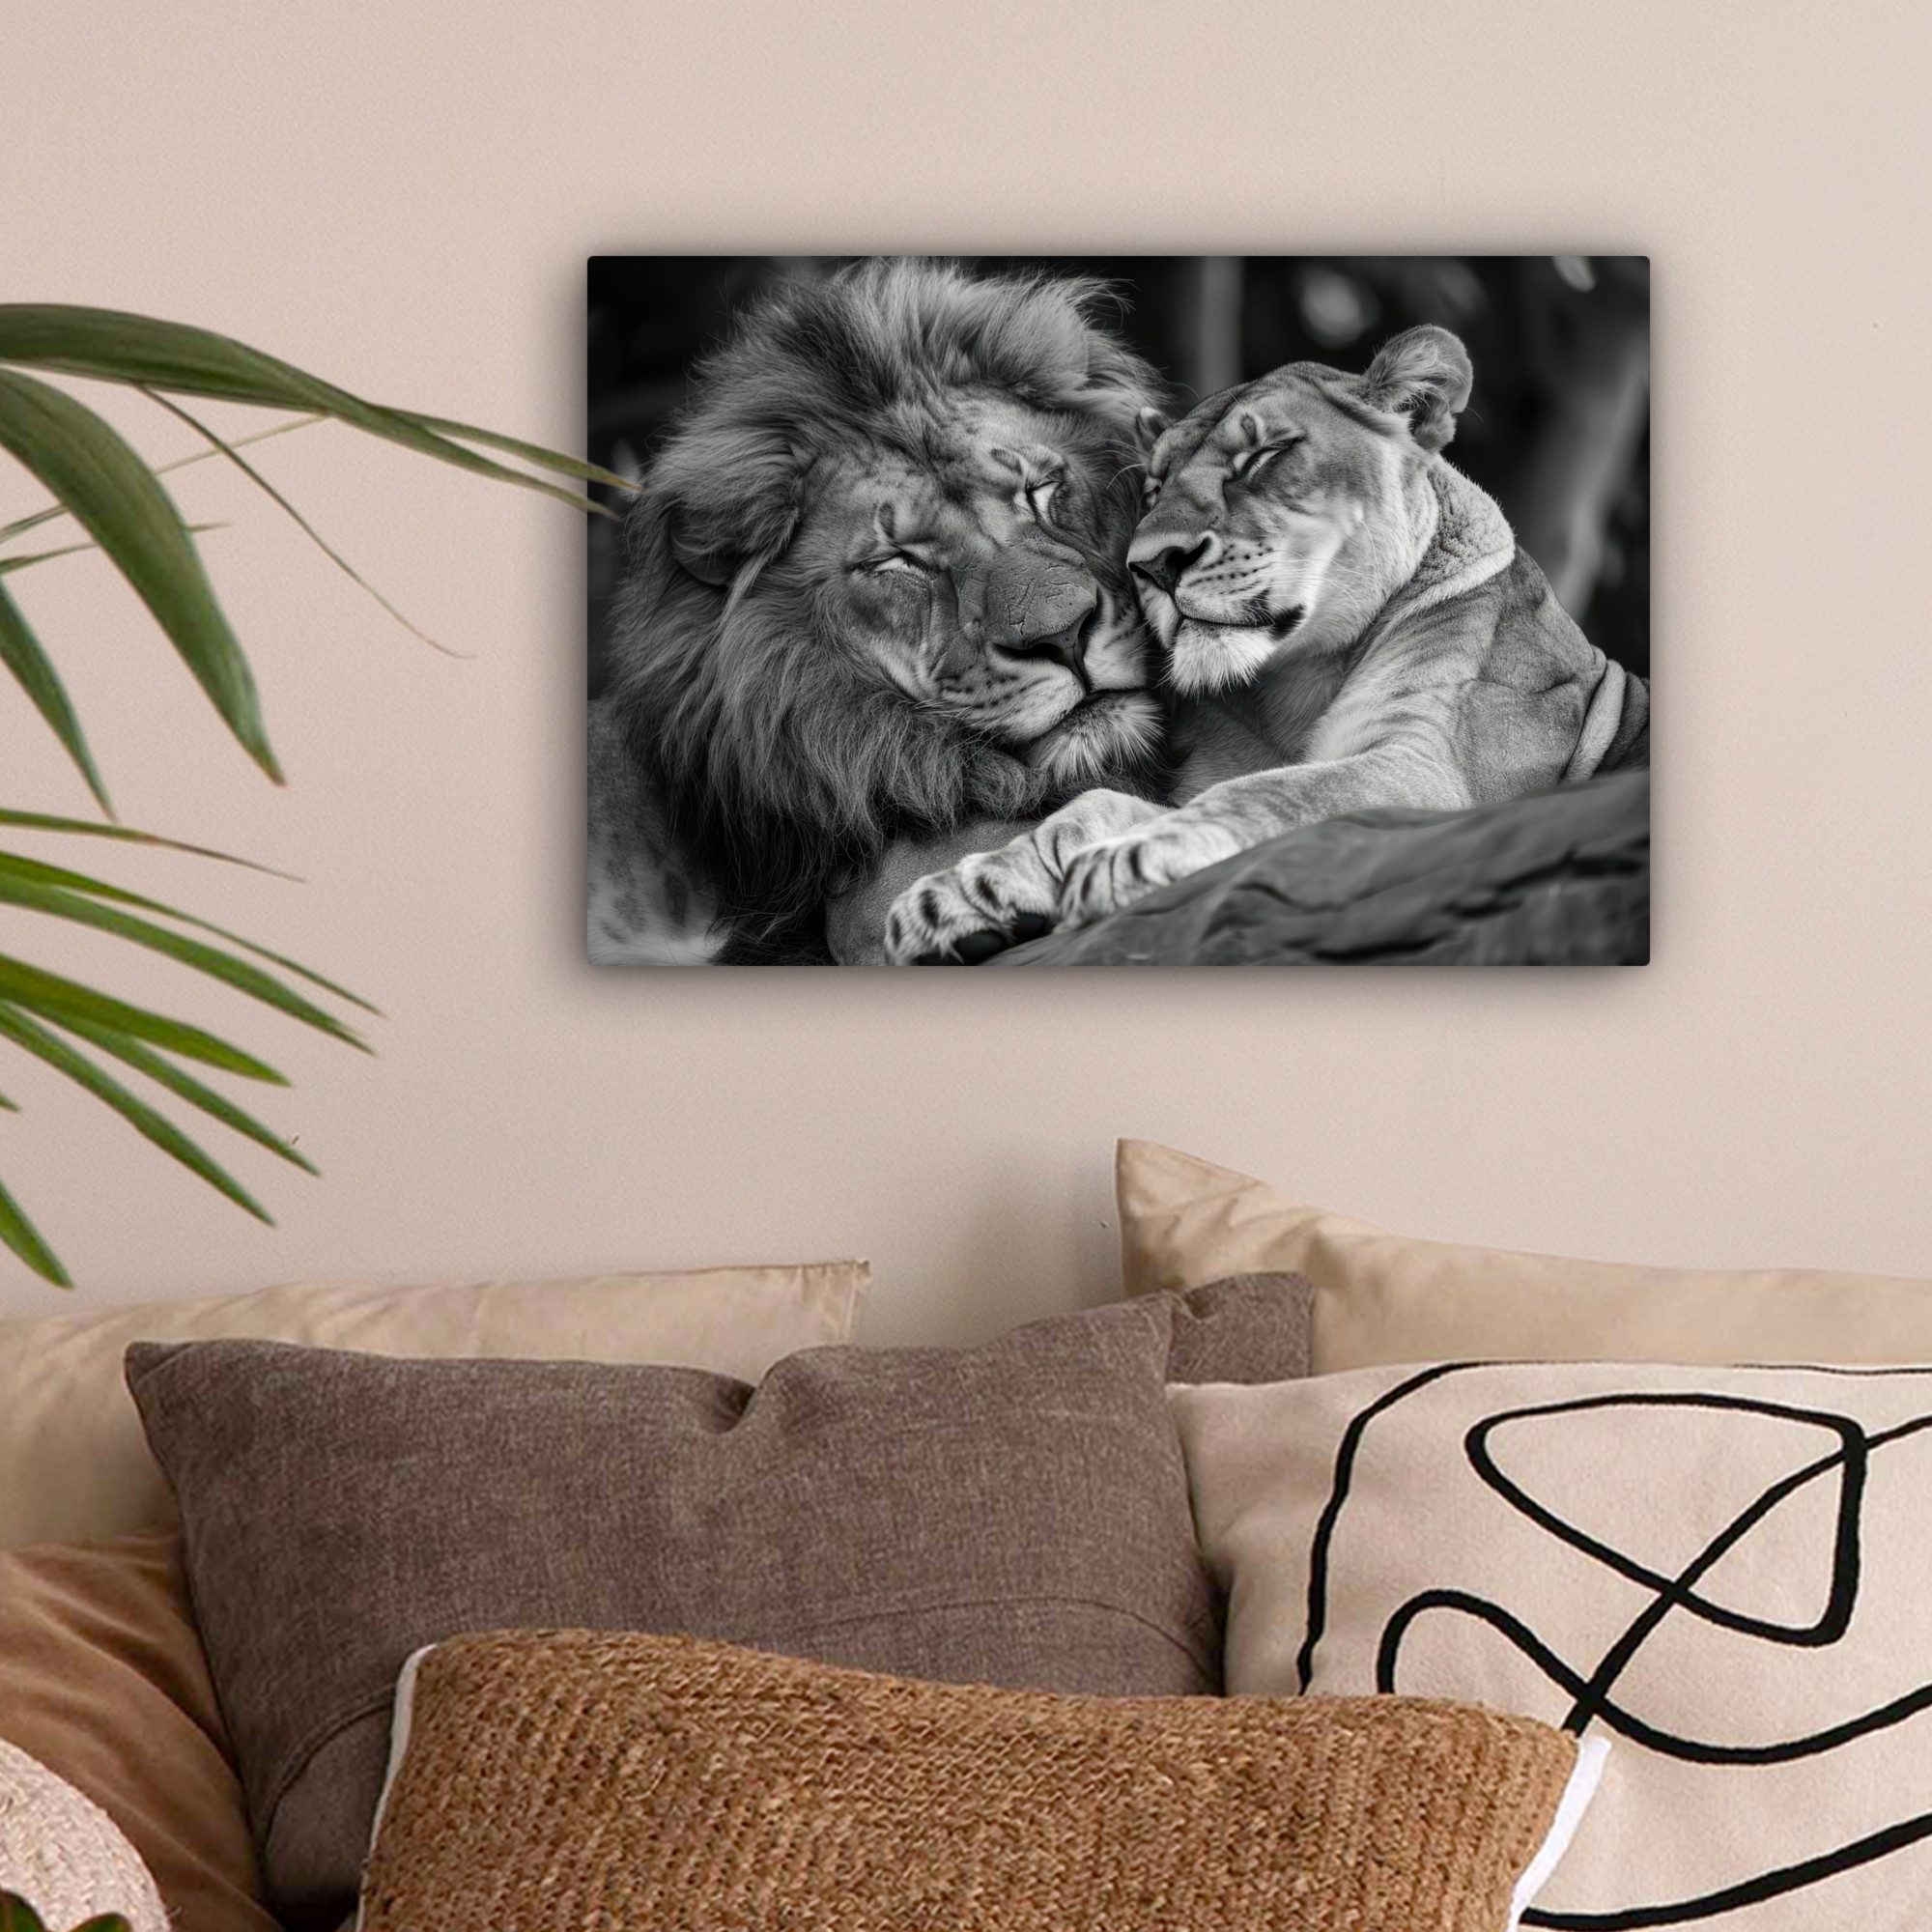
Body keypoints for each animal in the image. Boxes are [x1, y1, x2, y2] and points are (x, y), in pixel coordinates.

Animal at [883, 323, 1649, 962]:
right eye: (1153, 489)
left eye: (1265, 455)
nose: (1152, 565)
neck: (1292, 689)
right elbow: (1092, 807)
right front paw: (961, 892)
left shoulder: (1426, 773)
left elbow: (1275, 793)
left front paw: (1135, 856)